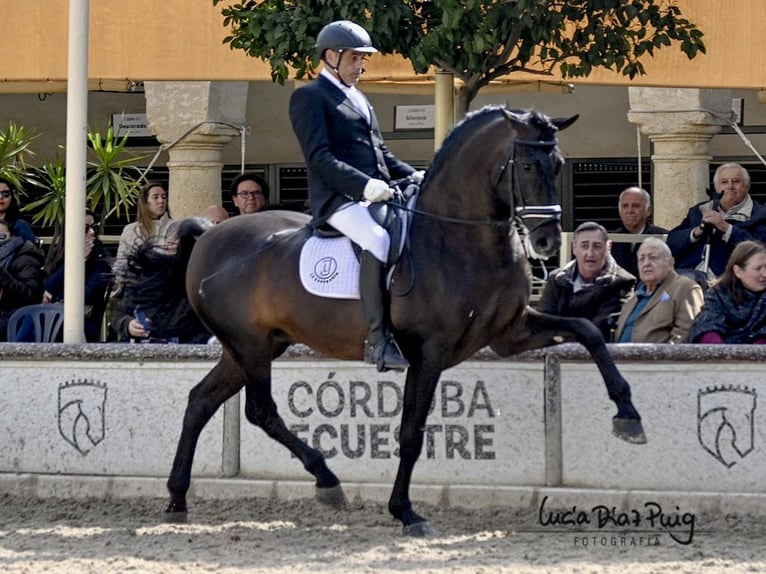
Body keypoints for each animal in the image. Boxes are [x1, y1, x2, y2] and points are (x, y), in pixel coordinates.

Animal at [164, 106, 648, 536]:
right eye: (527, 164)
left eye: (559, 164)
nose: (547, 241)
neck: (461, 238)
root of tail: (209, 235)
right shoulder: (429, 351)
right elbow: (411, 431)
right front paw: (406, 512)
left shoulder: (510, 333)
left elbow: (589, 332)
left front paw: (628, 415)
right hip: (251, 346)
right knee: (260, 410)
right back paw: (326, 480)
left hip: (254, 346)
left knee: (200, 401)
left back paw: (177, 499)